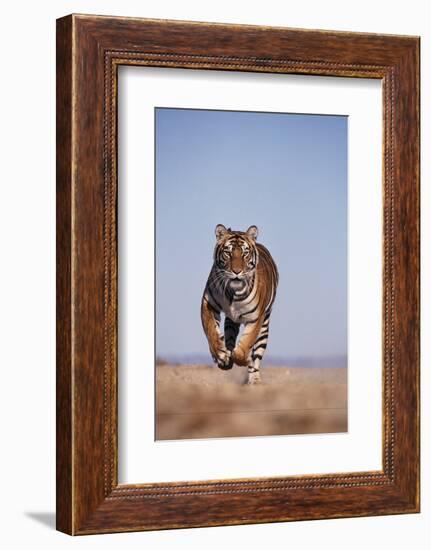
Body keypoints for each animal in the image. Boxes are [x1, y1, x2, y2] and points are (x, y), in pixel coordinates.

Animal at [201, 224, 278, 384]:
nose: (237, 271)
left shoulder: (256, 318)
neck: (233, 292)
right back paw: (226, 359)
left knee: (257, 356)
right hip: (231, 321)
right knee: (229, 339)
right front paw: (219, 353)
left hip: (264, 327)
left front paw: (243, 358)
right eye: (228, 253)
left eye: (245, 253)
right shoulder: (208, 303)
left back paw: (255, 380)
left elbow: (245, 346)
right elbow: (211, 329)